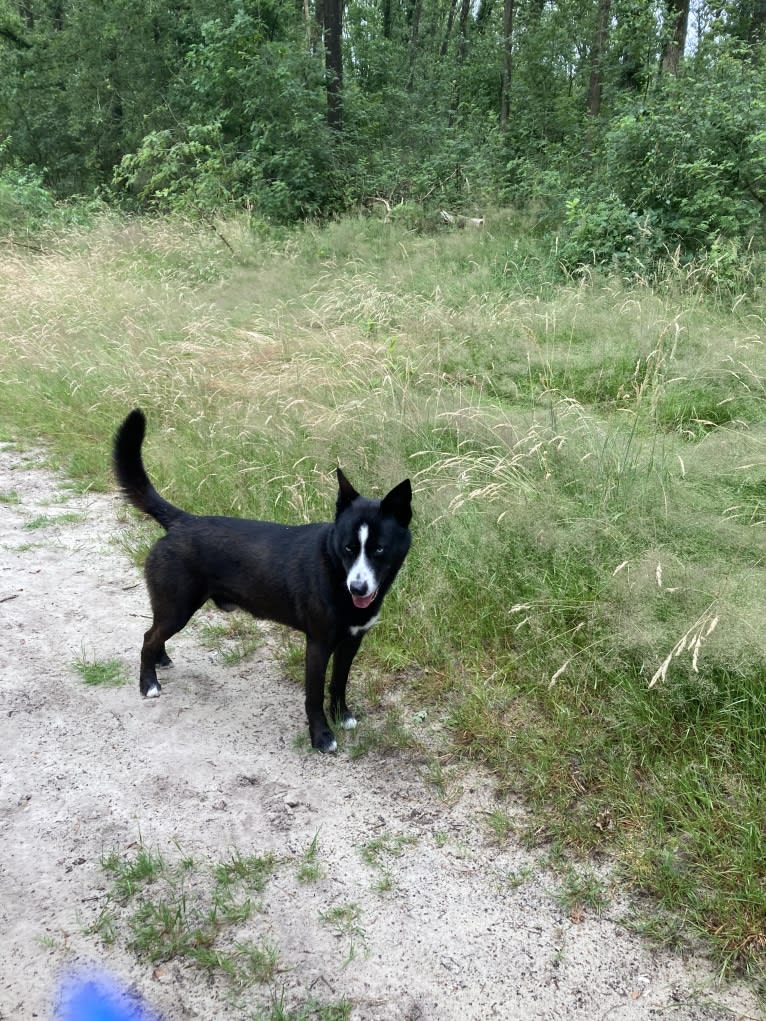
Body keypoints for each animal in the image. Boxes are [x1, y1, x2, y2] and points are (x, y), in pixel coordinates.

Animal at [112, 406, 414, 751]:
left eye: (378, 549)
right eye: (349, 547)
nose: (358, 587)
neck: (335, 571)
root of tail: (182, 521)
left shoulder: (351, 641)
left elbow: (339, 683)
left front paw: (342, 715)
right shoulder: (318, 644)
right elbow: (313, 697)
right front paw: (321, 736)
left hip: (172, 608)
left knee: (155, 633)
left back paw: (161, 659)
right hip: (177, 607)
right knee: (148, 637)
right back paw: (148, 683)